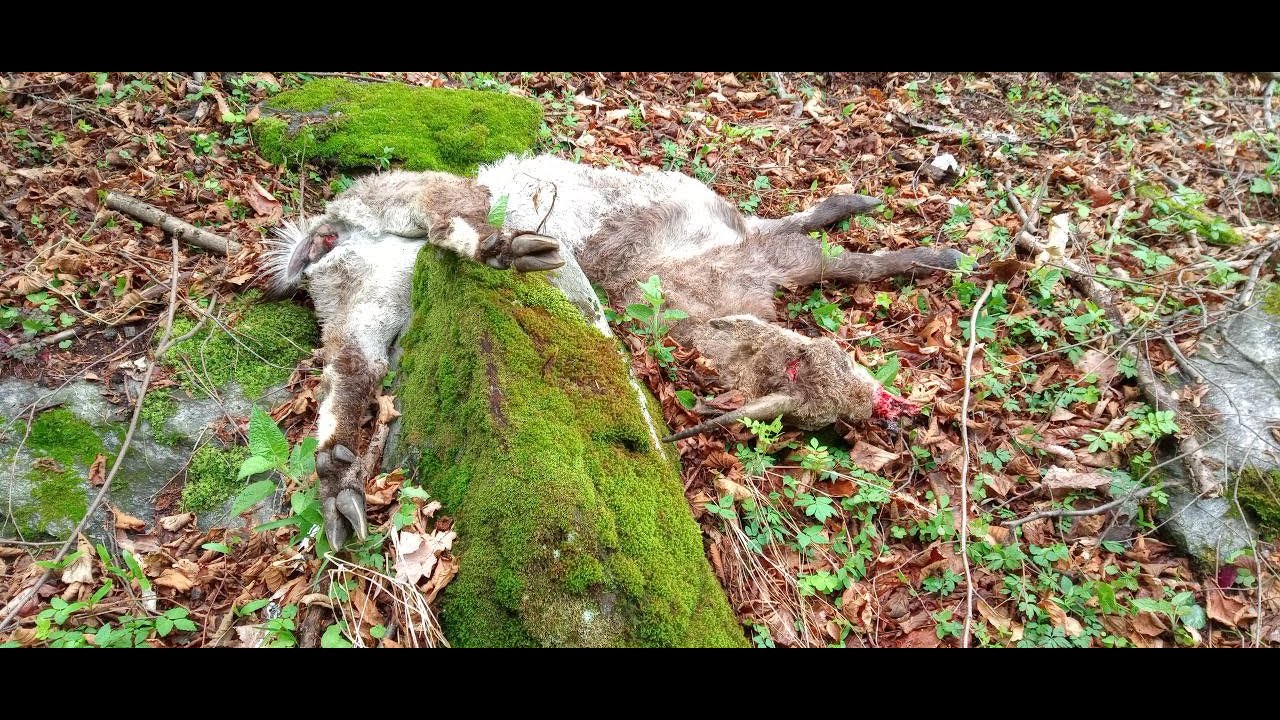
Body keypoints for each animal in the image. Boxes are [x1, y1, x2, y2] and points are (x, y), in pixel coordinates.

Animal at [266, 153, 964, 547]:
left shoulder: (749, 245)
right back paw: (508, 248)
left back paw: (338, 487)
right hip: (423, 207)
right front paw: (942, 255)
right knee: (447, 217)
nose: (885, 411)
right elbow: (841, 260)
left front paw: (880, 219)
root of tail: (330, 229)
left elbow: (818, 242)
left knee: (351, 371)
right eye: (805, 386)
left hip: (368, 295)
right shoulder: (756, 255)